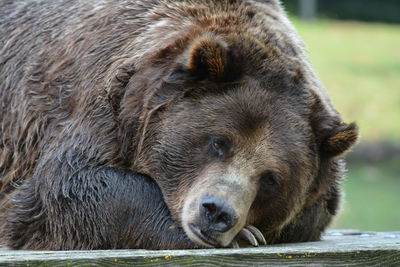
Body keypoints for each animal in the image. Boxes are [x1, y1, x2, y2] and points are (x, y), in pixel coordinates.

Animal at [0, 0, 356, 251]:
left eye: (271, 178)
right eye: (218, 142)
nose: (217, 213)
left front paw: (250, 232)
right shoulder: (98, 104)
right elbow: (67, 187)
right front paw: (244, 235)